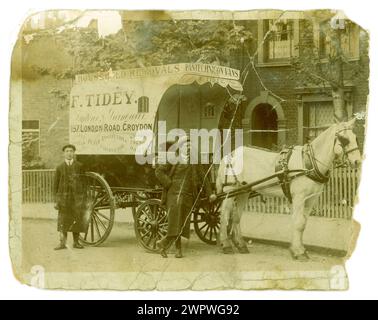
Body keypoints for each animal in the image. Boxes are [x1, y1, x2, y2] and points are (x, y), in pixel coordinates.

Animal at [216, 119, 360, 258]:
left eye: (355, 137)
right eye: (344, 139)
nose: (358, 161)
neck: (309, 163)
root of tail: (230, 154)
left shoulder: (311, 199)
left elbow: (302, 224)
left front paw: (298, 249)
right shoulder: (299, 197)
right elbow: (298, 223)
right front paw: (298, 252)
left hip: (243, 191)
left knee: (236, 216)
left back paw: (241, 245)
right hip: (230, 190)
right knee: (224, 215)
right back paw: (226, 245)